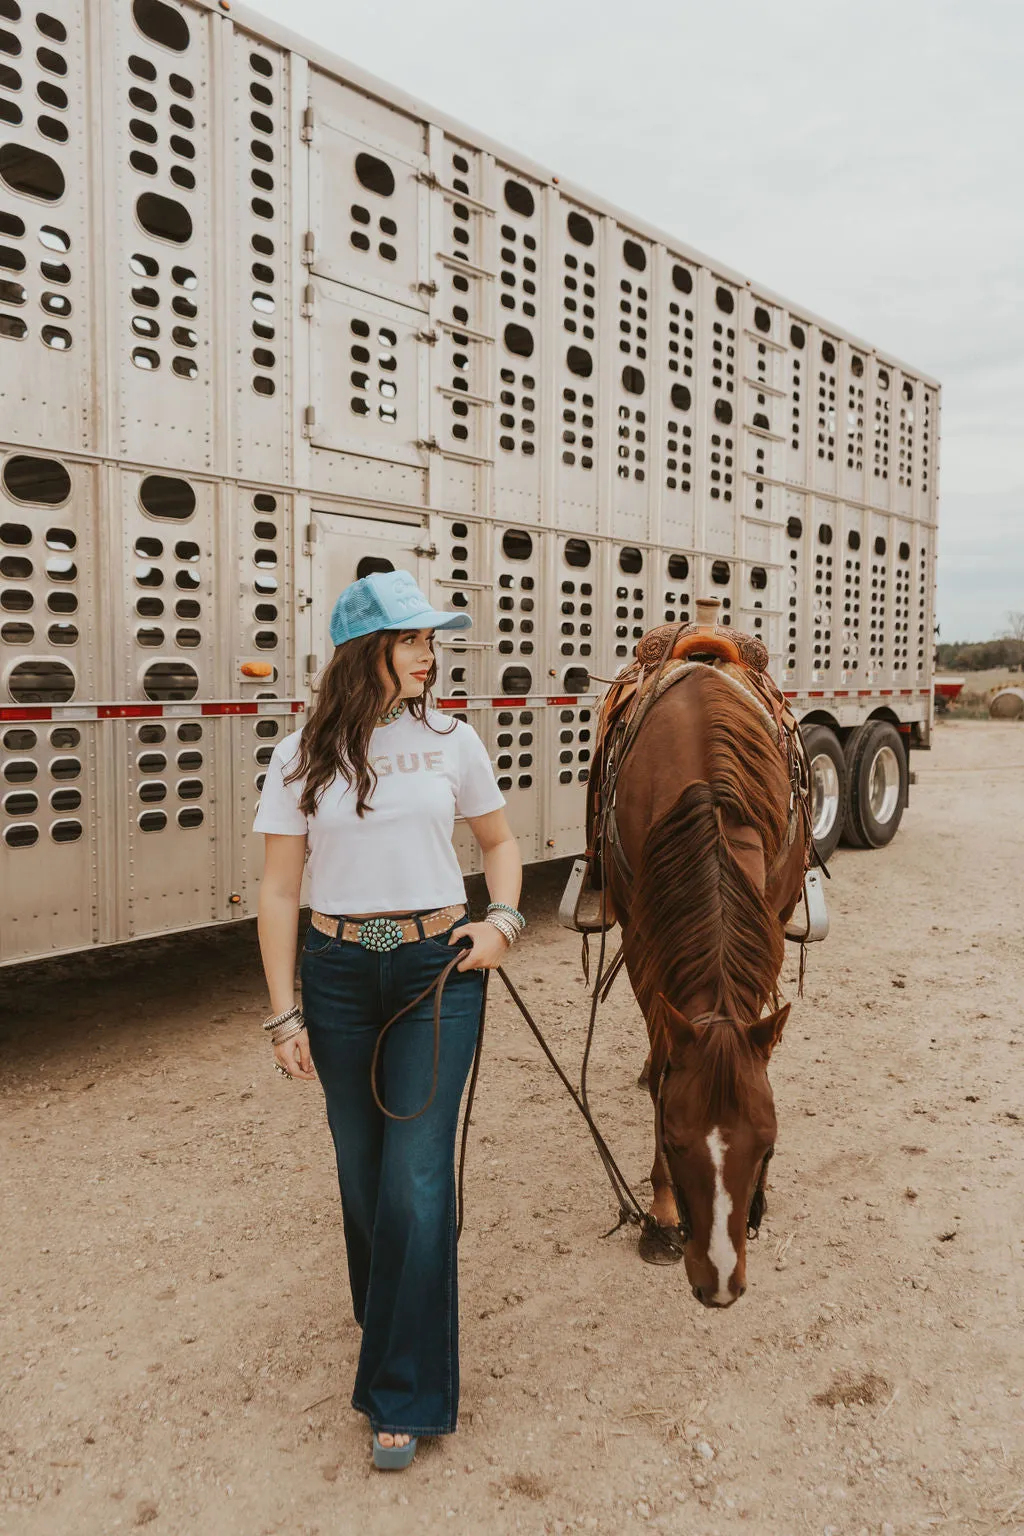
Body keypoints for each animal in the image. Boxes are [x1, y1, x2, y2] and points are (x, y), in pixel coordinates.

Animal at [607, 666, 810, 1302]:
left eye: (768, 1144)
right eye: (674, 1141)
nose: (720, 1281)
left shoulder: (769, 923)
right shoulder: (642, 940)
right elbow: (661, 1064)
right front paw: (661, 1215)